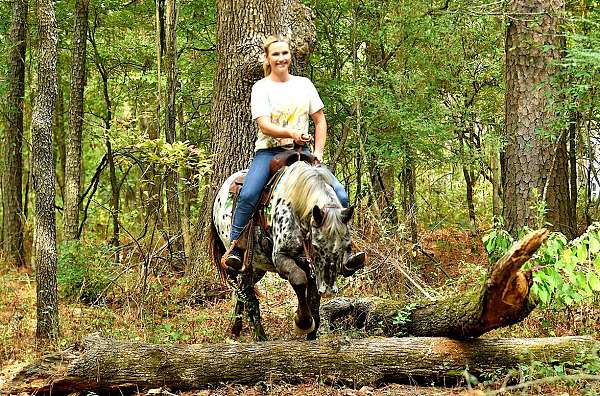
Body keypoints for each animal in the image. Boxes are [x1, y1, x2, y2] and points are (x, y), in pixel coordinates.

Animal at [211, 161, 358, 340]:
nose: (329, 290)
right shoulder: (281, 258)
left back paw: (235, 331)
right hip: (243, 264)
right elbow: (299, 280)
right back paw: (260, 337)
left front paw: (312, 336)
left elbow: (314, 304)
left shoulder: (314, 270)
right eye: (316, 245)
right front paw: (303, 323)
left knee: (242, 291)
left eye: (346, 245)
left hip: (258, 267)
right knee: (248, 295)